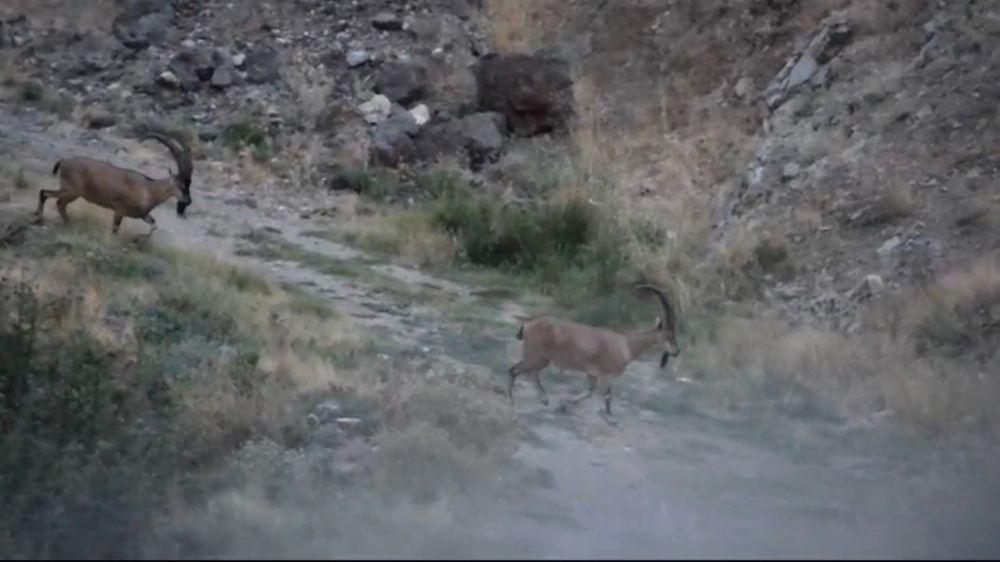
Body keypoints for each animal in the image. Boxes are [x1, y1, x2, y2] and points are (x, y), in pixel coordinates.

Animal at [37, 130, 193, 236]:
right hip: (71, 191)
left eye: (189, 184)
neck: (148, 190)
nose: (188, 201)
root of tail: (63, 161)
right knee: (49, 195)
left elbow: (154, 226)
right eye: (181, 185)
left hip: (69, 191)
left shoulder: (143, 215)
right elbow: (115, 229)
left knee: (54, 199)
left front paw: (138, 239)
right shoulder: (119, 210)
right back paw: (48, 218)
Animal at [508, 284, 680, 420]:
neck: (627, 346)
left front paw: (563, 405)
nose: (676, 352)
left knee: (531, 373)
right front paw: (608, 419)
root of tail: (528, 325)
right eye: (669, 335)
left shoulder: (593, 374)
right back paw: (512, 402)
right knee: (514, 370)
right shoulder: (606, 375)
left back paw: (544, 399)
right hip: (534, 354)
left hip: (542, 358)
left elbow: (591, 392)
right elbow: (603, 396)